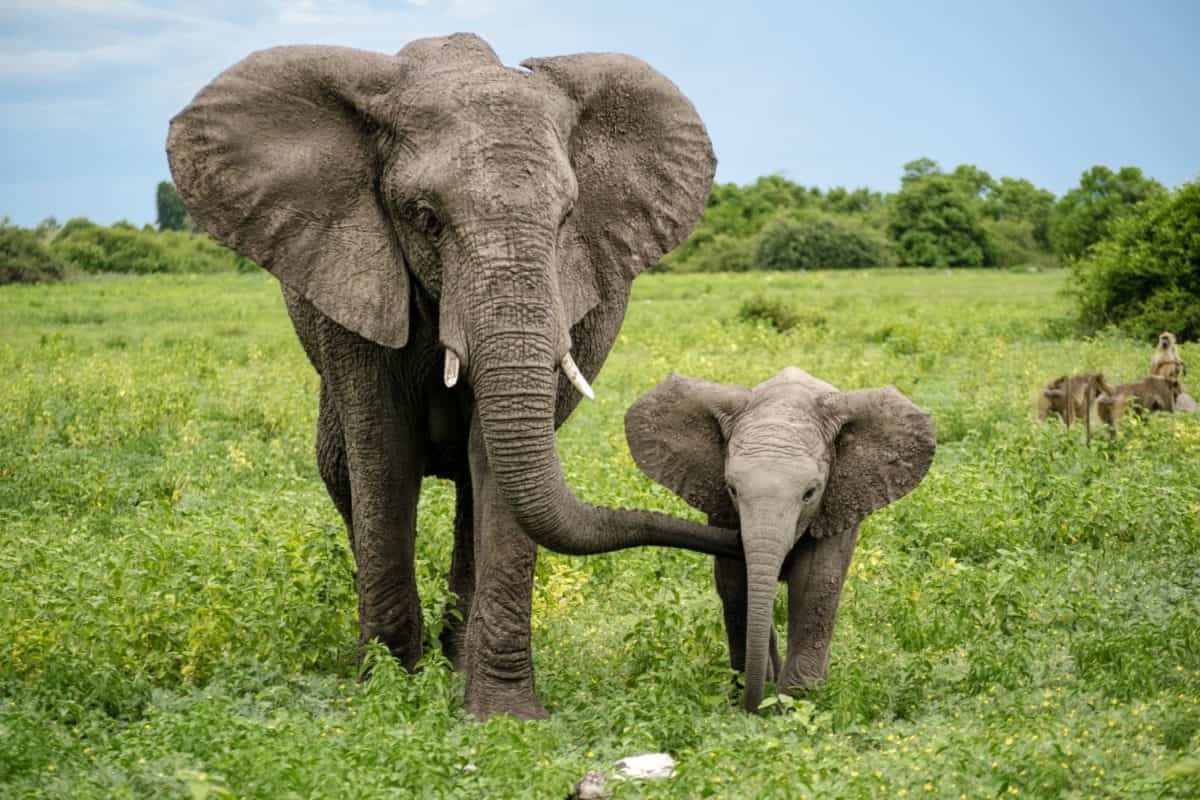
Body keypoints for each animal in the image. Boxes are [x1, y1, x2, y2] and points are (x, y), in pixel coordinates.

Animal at [165, 33, 742, 720]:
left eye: (567, 216)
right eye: (423, 216)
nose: (737, 530)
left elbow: (494, 464)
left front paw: (503, 717)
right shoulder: (354, 280)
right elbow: (382, 455)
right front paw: (387, 696)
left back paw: (456, 661)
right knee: (341, 471)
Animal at [625, 368, 936, 711]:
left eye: (809, 493)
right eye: (732, 489)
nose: (753, 708)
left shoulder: (838, 502)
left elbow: (815, 584)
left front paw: (794, 703)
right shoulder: (721, 508)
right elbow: (735, 584)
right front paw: (758, 692)